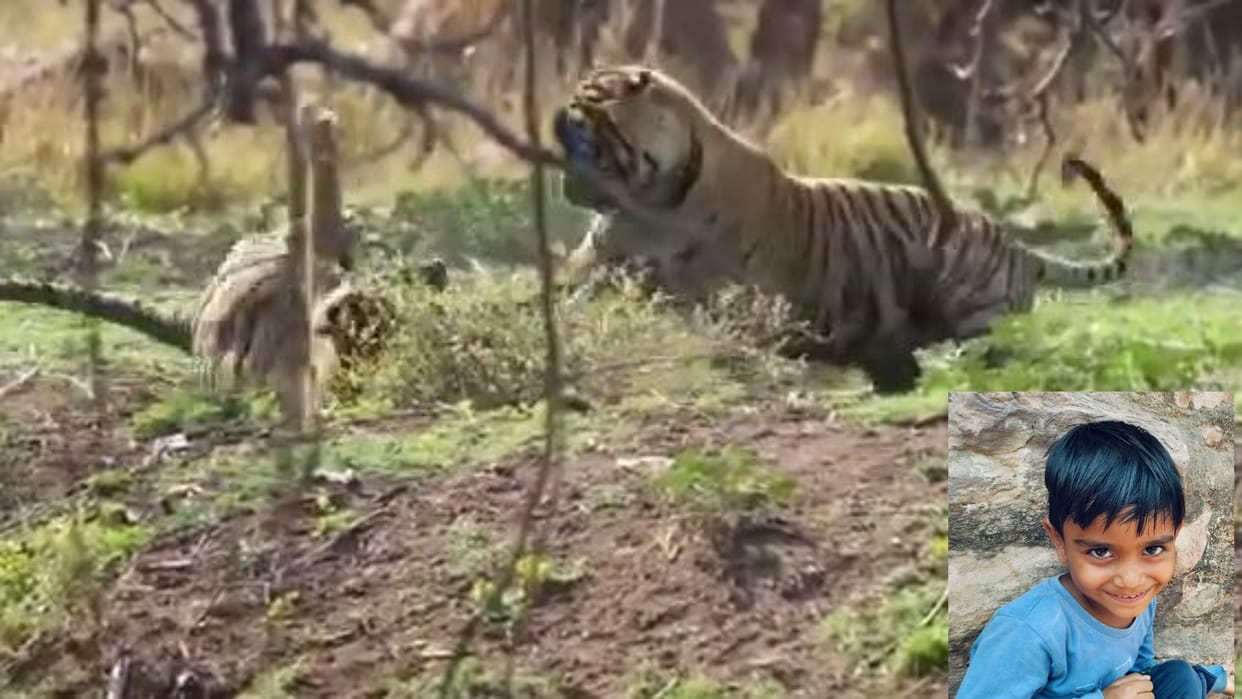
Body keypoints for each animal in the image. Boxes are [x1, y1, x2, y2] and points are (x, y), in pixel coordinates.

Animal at [550, 64, 1134, 393]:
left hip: (974, 304)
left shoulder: (723, 288)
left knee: (993, 352)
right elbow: (569, 292)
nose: (563, 187)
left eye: (583, 133)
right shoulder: (601, 258)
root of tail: (1017, 246)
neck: (654, 197)